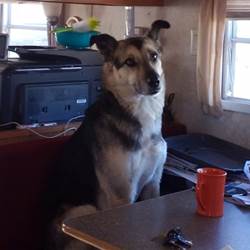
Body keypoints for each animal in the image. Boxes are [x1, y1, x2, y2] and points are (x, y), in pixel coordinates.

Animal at [45, 20, 170, 250]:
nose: (155, 81)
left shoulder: (153, 186)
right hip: (85, 210)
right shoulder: (122, 195)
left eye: (154, 56)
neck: (140, 111)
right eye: (129, 62)